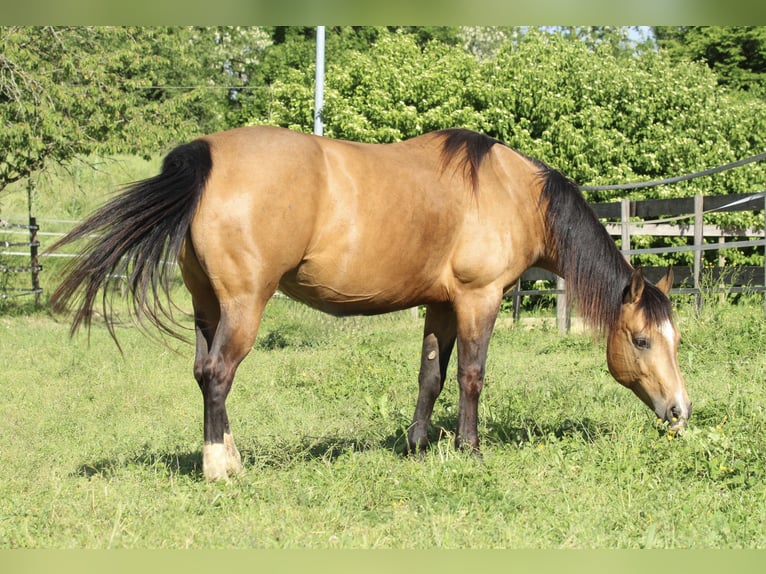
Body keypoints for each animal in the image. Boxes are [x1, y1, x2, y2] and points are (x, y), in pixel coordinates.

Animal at [47, 126, 692, 482]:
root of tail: (206, 156)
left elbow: (431, 377)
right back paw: (221, 469)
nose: (680, 411)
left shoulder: (440, 305)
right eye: (640, 339)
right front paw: (470, 450)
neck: (513, 193)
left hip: (208, 306)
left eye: (675, 339)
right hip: (243, 307)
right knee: (218, 376)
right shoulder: (477, 300)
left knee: (203, 372)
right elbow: (472, 377)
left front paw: (417, 447)